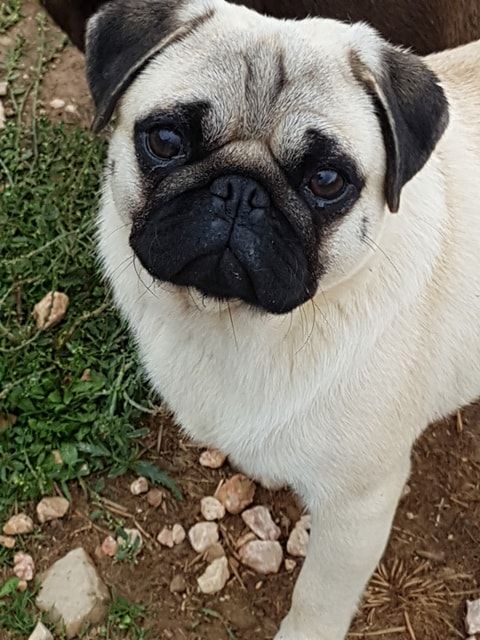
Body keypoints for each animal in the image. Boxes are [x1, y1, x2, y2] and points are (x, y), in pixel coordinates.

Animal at [88, 0, 480, 636]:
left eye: (327, 181)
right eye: (166, 140)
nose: (240, 190)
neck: (236, 326)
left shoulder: (357, 508)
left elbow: (316, 599)